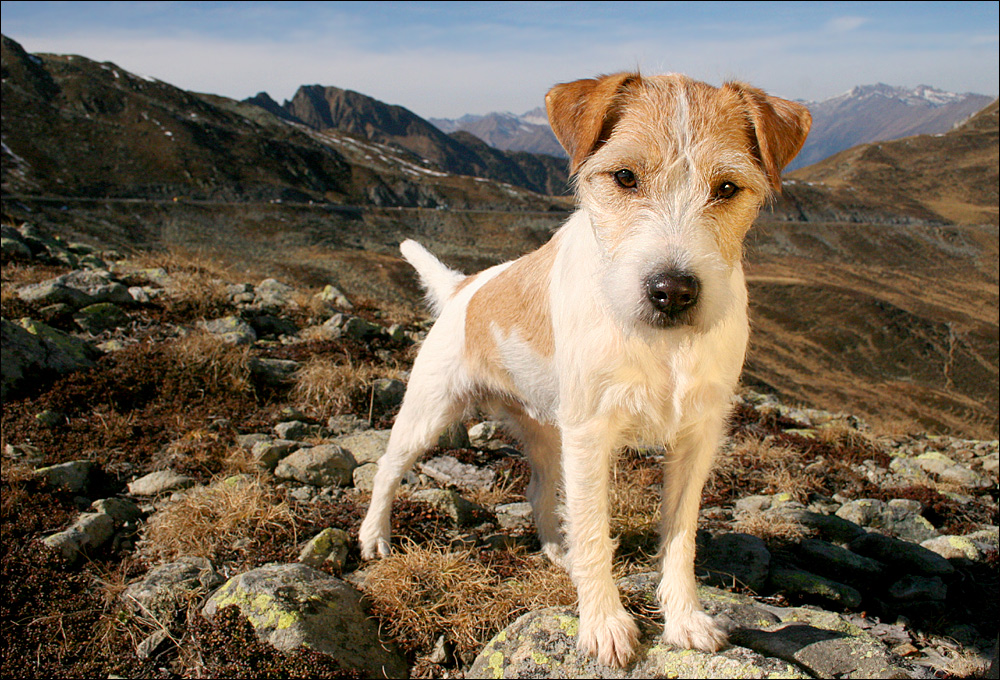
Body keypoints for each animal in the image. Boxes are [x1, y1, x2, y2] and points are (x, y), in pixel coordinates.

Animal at [360, 71, 812, 668]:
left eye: (728, 187)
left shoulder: (696, 437)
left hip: (548, 433)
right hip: (429, 411)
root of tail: (462, 289)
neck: (663, 345)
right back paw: (374, 536)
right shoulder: (593, 435)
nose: (672, 291)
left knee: (539, 492)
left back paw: (558, 551)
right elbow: (596, 530)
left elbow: (680, 534)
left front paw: (685, 620)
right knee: (388, 467)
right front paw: (605, 626)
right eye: (624, 176)